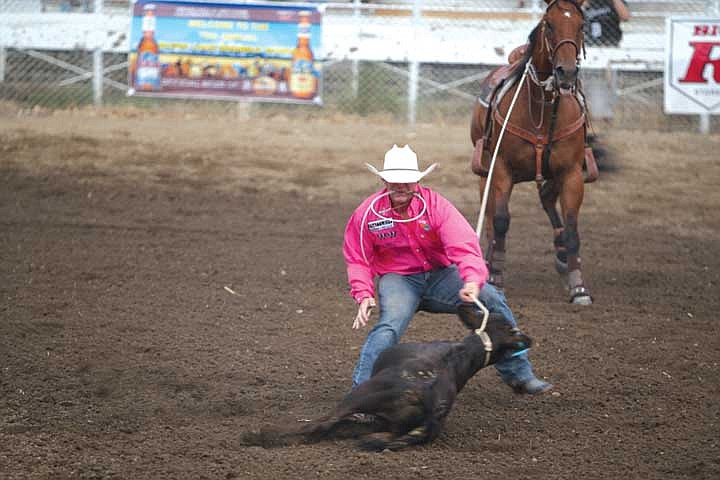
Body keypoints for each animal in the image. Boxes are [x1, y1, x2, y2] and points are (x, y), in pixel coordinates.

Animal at [466, 0, 596, 304]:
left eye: (581, 25)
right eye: (549, 24)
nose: (566, 72)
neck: (542, 106)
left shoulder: (571, 173)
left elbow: (572, 229)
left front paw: (579, 287)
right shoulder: (501, 169)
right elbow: (500, 221)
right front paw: (496, 278)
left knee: (547, 198)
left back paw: (561, 255)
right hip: (485, 173)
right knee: (491, 218)